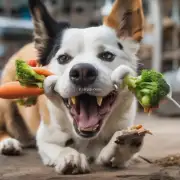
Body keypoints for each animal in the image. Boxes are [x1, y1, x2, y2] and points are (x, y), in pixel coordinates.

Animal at [0, 0, 146, 175]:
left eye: (107, 56)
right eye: (63, 58)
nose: (82, 72)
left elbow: (112, 152)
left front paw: (123, 145)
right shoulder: (46, 139)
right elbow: (61, 148)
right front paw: (71, 156)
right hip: (6, 105)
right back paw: (8, 143)